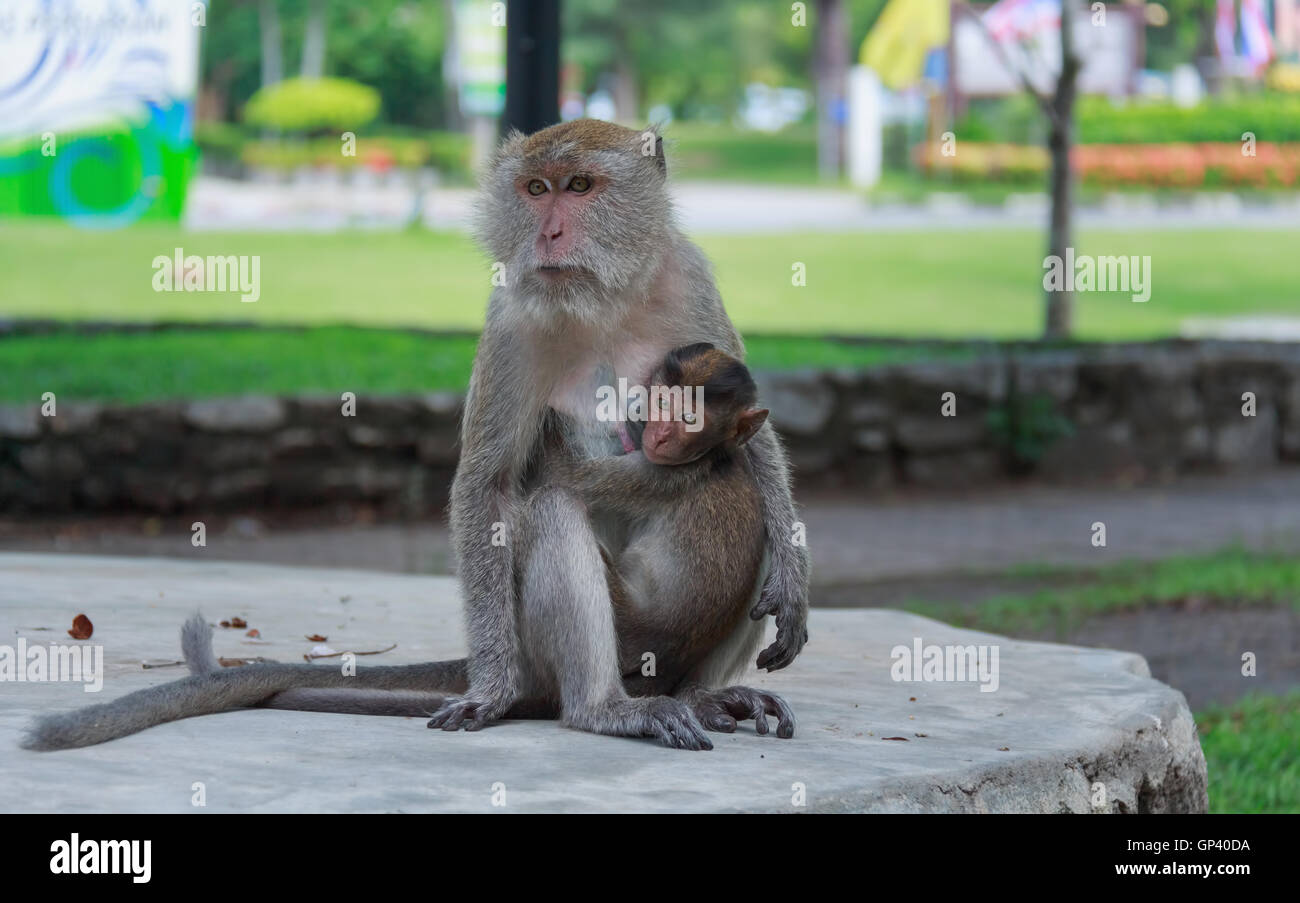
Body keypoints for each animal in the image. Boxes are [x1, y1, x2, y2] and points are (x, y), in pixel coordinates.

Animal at [20, 122, 806, 753]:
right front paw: (490, 691)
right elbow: (489, 486)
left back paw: (700, 694)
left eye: (581, 186)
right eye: (536, 189)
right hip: (558, 645)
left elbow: (753, 443)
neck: (604, 298)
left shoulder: (687, 275)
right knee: (549, 512)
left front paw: (793, 584)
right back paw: (601, 709)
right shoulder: (511, 317)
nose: (548, 234)